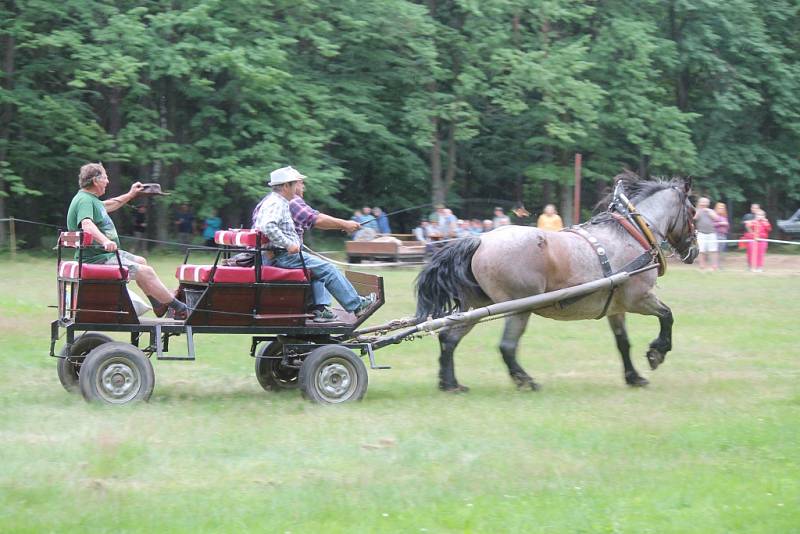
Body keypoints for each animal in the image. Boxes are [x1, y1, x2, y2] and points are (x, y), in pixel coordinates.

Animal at [416, 175, 696, 394]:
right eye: (693, 212)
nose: (693, 251)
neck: (632, 232)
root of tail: (480, 240)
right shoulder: (639, 298)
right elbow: (667, 315)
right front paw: (657, 352)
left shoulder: (616, 308)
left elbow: (623, 343)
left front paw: (634, 377)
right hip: (518, 308)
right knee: (507, 346)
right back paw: (526, 382)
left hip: (476, 306)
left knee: (449, 339)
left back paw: (450, 384)